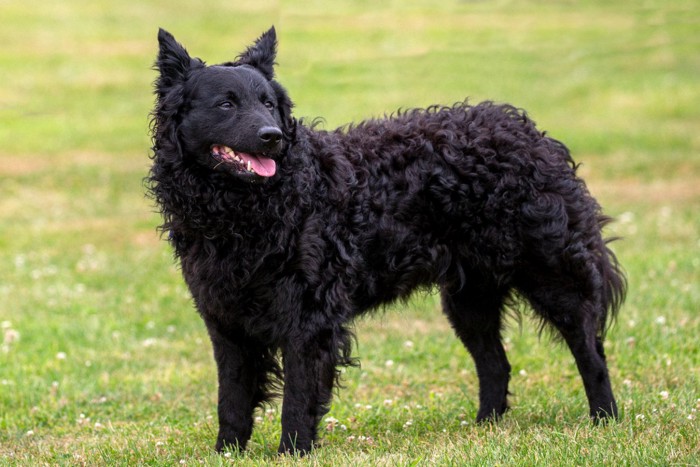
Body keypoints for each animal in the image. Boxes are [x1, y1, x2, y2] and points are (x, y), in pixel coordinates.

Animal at [149, 27, 628, 456]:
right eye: (226, 104)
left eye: (269, 104)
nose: (273, 137)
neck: (249, 208)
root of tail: (530, 134)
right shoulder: (225, 321)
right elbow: (231, 402)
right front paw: (226, 454)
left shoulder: (309, 320)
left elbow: (297, 401)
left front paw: (292, 453)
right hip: (470, 298)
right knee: (496, 364)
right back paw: (485, 432)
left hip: (553, 275)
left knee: (590, 352)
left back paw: (605, 421)